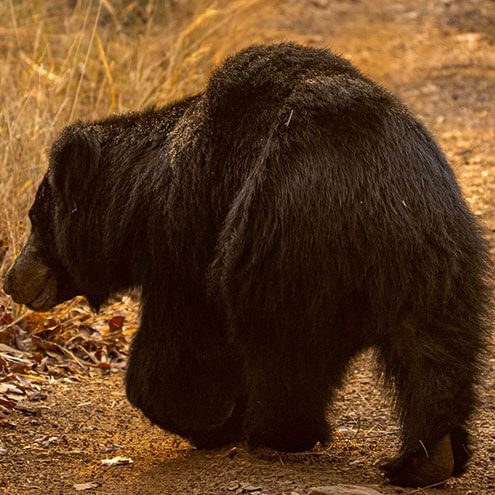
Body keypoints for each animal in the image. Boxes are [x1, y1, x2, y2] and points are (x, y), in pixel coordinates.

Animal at [3, 43, 492, 488]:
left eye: (34, 219)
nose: (11, 280)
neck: (143, 203)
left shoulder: (189, 238)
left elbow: (181, 348)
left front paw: (204, 421)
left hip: (284, 251)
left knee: (286, 352)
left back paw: (279, 434)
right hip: (443, 260)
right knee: (435, 353)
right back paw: (428, 458)